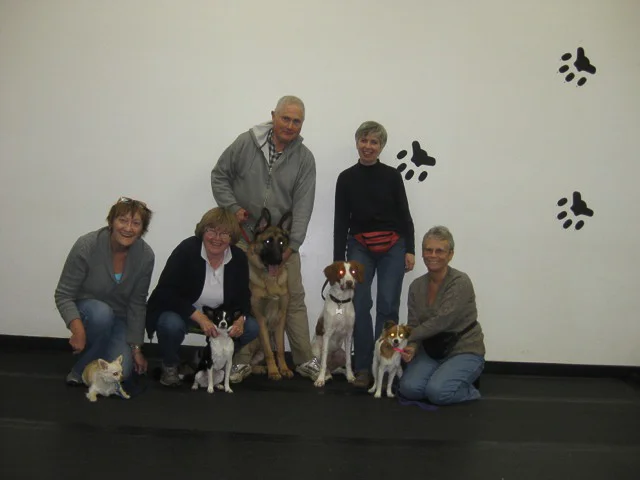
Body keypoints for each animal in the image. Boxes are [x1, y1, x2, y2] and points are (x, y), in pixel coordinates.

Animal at [246, 207, 293, 380]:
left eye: (281, 243)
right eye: (267, 242)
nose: (278, 261)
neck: (270, 281)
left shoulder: (280, 319)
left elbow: (279, 349)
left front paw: (284, 369)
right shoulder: (260, 319)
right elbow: (268, 351)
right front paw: (274, 371)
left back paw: (259, 368)